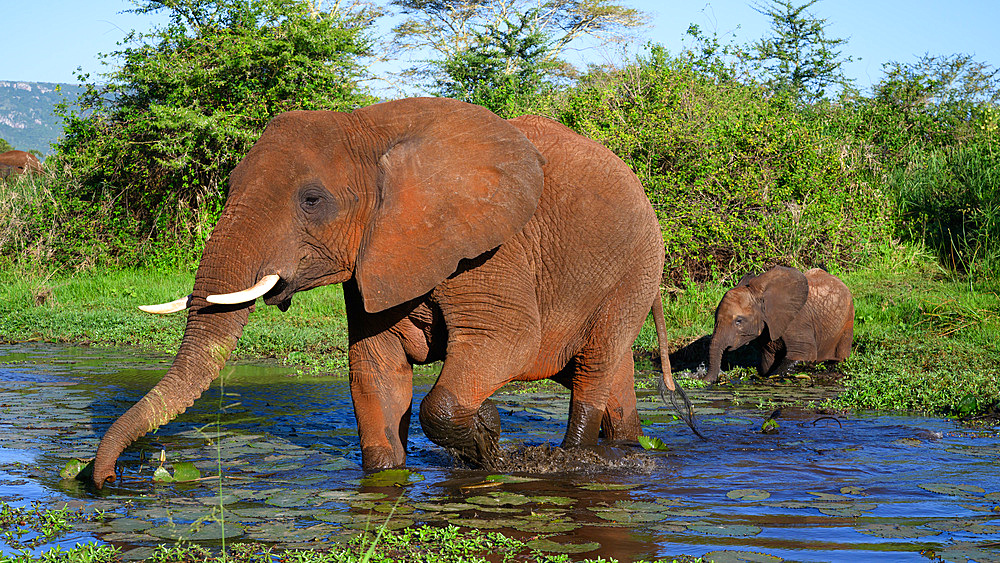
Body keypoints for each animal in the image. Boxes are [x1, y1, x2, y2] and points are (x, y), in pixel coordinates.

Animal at [95, 98, 696, 490]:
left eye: (312, 200)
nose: (106, 479)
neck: (368, 130)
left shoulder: (490, 248)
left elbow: (506, 344)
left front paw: (489, 440)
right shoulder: (374, 258)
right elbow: (376, 371)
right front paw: (402, 473)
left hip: (634, 268)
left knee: (592, 371)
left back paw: (572, 460)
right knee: (612, 377)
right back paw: (627, 452)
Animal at [704, 266, 852, 384]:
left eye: (738, 321)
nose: (702, 380)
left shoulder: (797, 322)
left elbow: (803, 355)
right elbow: (767, 363)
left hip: (848, 322)